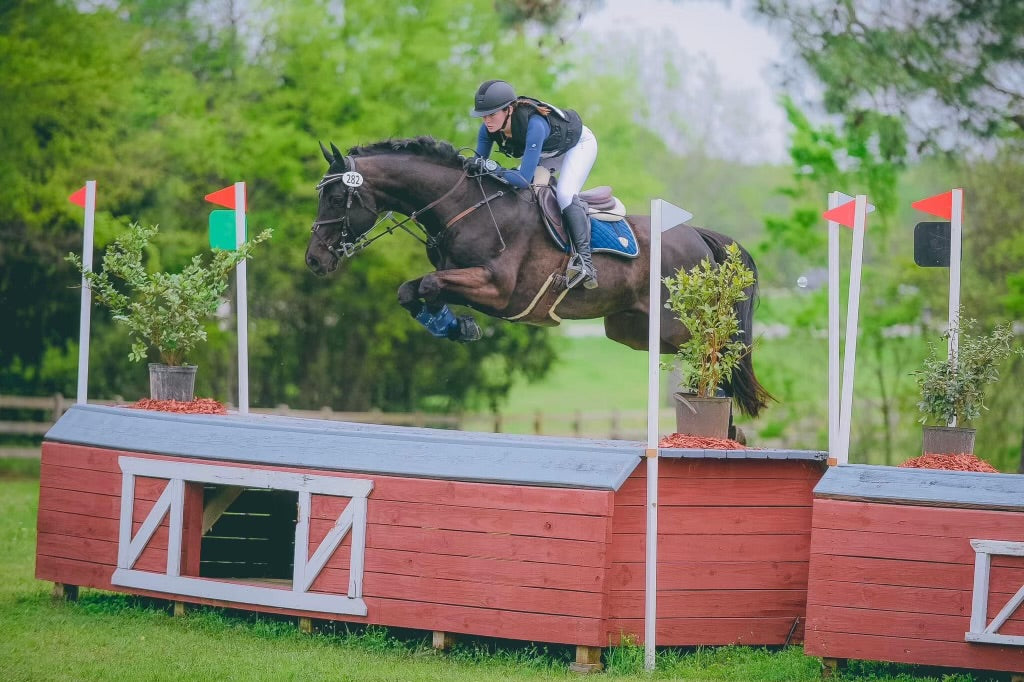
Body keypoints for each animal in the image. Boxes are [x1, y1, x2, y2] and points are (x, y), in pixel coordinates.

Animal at [307, 136, 770, 417]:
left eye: (337, 197)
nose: (314, 260)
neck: (464, 205)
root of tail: (698, 236)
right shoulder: (466, 279)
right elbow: (411, 290)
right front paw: (455, 326)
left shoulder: (497, 289)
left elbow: (428, 285)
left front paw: (460, 326)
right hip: (634, 331)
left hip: (681, 325)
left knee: (720, 358)